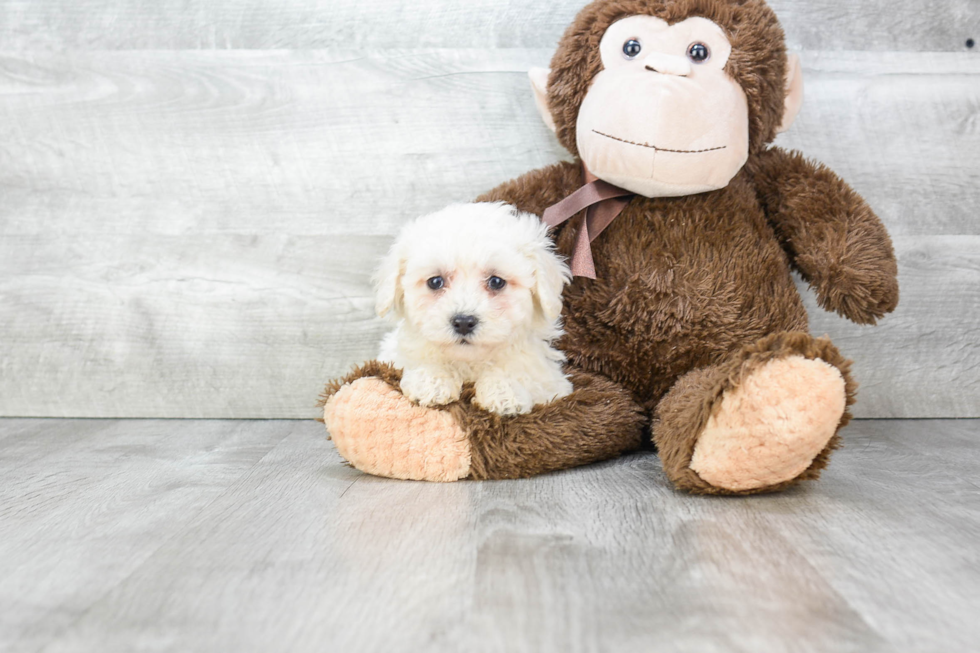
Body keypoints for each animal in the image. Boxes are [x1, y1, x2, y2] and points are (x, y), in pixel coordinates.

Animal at [376, 201, 576, 416]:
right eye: (435, 282)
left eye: (496, 282)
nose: (463, 322)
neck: (469, 363)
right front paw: (431, 380)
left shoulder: (552, 384)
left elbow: (521, 372)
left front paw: (504, 391)